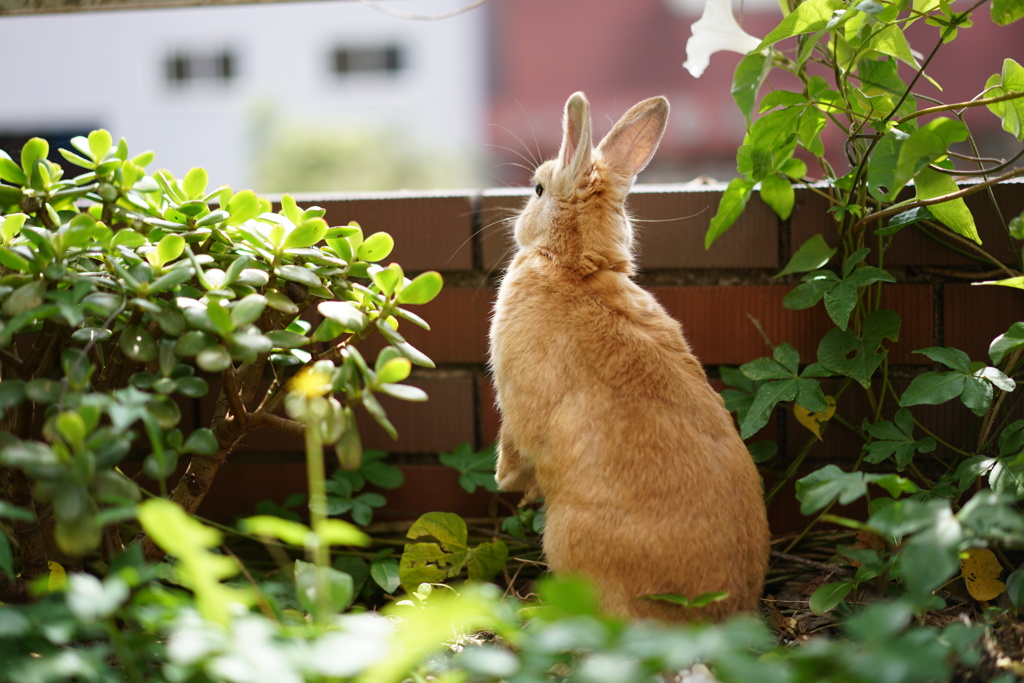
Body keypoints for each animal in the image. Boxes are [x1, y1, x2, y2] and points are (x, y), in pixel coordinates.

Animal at [487, 92, 770, 626]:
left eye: (538, 189)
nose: (515, 224)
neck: (573, 265)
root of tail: (707, 618)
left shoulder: (513, 404)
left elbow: (513, 446)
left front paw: (505, 482)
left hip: (567, 541)